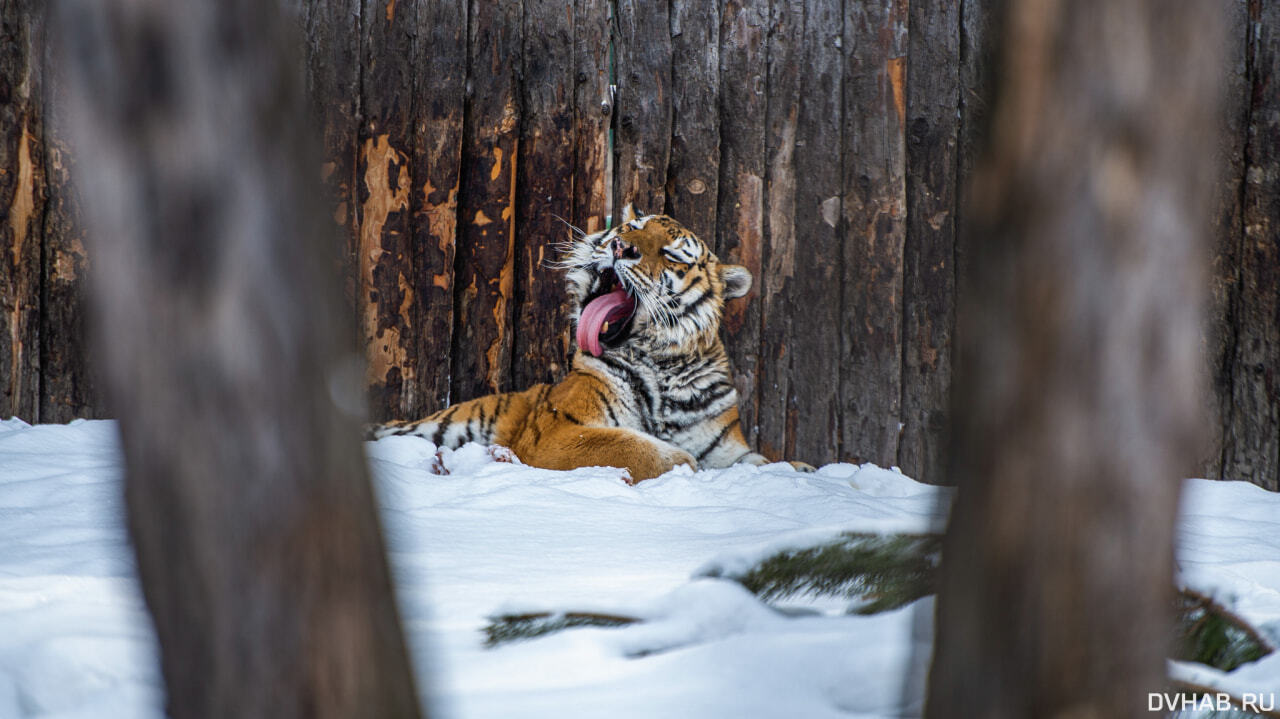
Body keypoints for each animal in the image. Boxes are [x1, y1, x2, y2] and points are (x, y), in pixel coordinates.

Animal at [371, 204, 808, 478]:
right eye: (632, 228)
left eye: (671, 254)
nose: (620, 246)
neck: (664, 366)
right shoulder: (562, 430)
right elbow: (639, 448)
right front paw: (685, 467)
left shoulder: (727, 448)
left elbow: (766, 463)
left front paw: (802, 470)